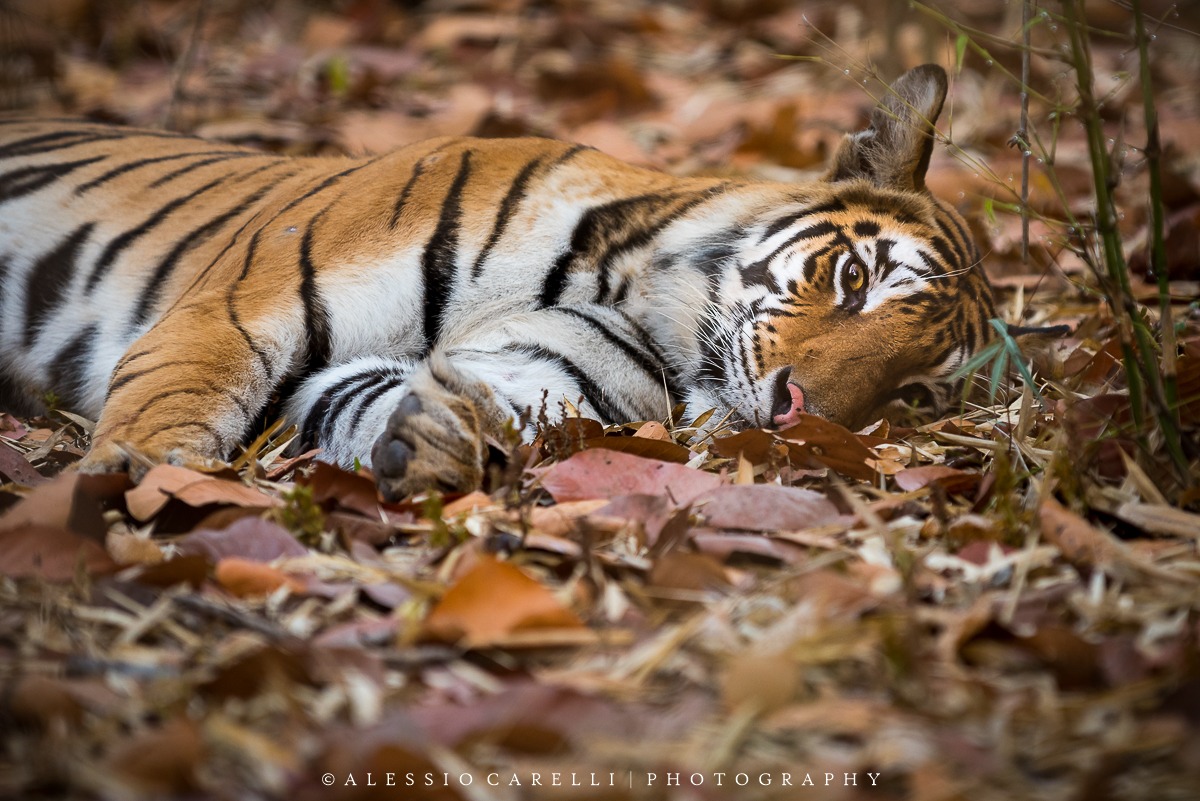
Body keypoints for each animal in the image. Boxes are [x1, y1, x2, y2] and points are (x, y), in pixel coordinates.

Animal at [0, 64, 995, 500]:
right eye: (856, 276)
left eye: (909, 394)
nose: (800, 415)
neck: (622, 289)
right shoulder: (243, 305)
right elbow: (180, 397)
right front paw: (137, 481)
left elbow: (387, 399)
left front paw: (439, 438)